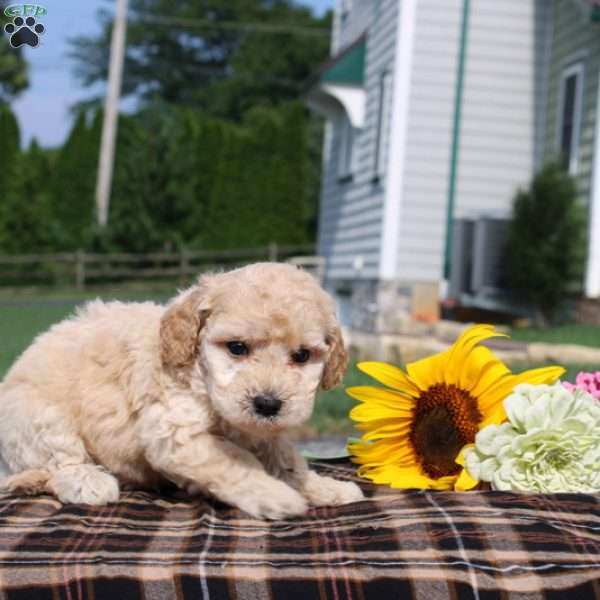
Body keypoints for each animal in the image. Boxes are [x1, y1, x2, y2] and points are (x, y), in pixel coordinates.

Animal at [0, 264, 364, 520]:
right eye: (237, 348)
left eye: (302, 356)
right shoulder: (175, 433)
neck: (199, 376)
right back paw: (88, 481)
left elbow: (288, 461)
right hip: (37, 416)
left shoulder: (264, 433)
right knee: (59, 461)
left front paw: (325, 488)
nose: (267, 404)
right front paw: (280, 497)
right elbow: (237, 462)